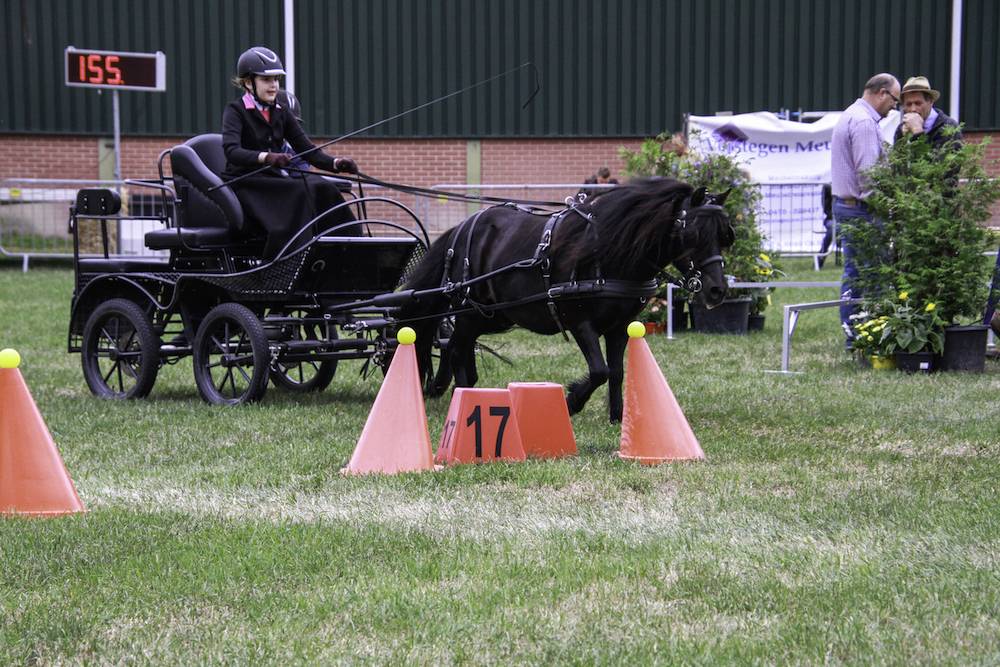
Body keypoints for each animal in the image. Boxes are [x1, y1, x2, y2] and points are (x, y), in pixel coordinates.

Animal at [400, 177, 734, 422]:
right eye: (694, 233)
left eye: (724, 235)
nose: (716, 290)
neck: (608, 255)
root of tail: (461, 228)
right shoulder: (580, 321)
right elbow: (599, 370)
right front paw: (571, 401)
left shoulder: (620, 326)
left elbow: (616, 371)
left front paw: (617, 418)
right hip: (470, 310)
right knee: (456, 346)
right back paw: (459, 393)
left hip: (494, 315)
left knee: (457, 345)